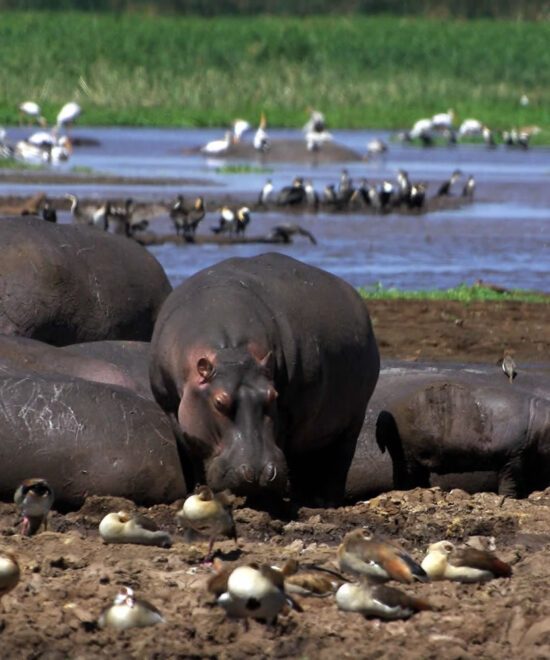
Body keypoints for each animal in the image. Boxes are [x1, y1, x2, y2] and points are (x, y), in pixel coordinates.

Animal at [151, 251, 384, 500]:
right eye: (219, 402)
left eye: (273, 396)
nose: (257, 473)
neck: (232, 352)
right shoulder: (171, 408)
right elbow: (191, 449)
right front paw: (198, 489)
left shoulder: (289, 410)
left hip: (354, 419)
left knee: (338, 460)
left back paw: (324, 497)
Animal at [348, 360, 550, 500]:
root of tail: (384, 415)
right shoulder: (513, 455)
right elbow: (511, 481)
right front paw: (509, 497)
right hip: (406, 452)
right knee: (407, 474)